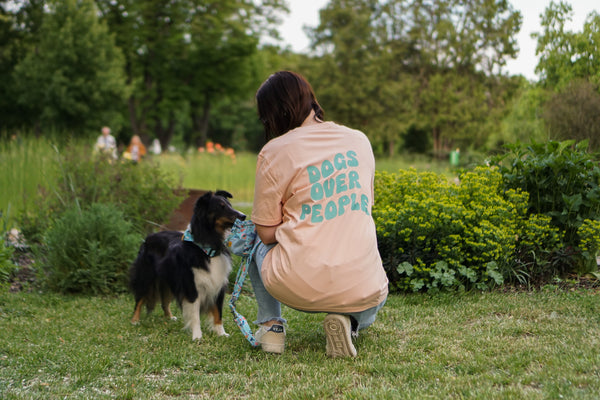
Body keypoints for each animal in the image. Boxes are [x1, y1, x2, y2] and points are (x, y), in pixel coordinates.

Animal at [129, 191, 246, 340]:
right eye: (221, 207)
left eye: (230, 205)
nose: (244, 216)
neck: (207, 248)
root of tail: (149, 237)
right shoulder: (191, 286)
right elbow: (194, 314)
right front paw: (197, 336)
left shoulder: (218, 285)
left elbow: (218, 312)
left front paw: (221, 334)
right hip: (146, 276)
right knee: (139, 299)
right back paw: (135, 321)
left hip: (169, 281)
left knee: (164, 301)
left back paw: (170, 317)